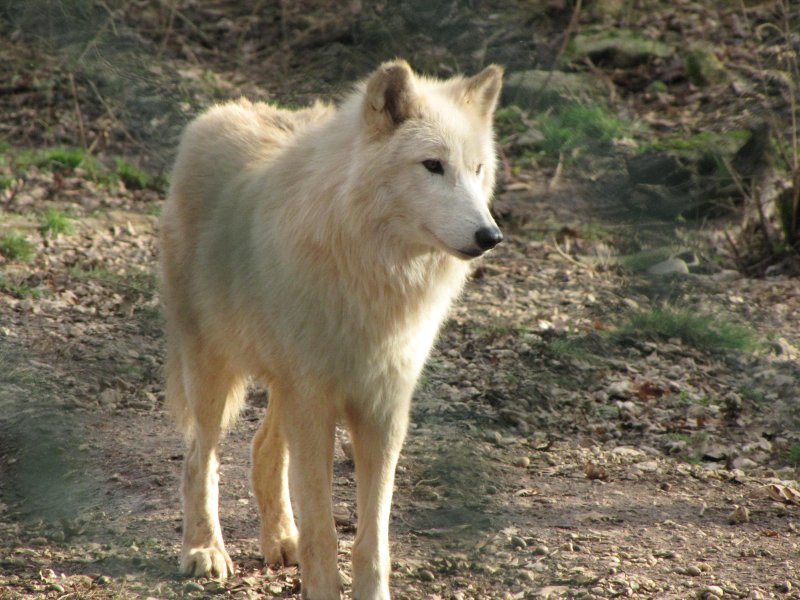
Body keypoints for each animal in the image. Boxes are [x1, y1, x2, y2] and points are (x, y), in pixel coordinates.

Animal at [159, 57, 504, 600]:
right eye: (432, 165)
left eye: (477, 170)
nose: (490, 236)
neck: (373, 270)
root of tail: (218, 112)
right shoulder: (315, 402)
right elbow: (322, 529)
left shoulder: (383, 410)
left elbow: (373, 539)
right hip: (215, 373)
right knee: (199, 460)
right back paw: (204, 550)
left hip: (283, 386)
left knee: (261, 449)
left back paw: (281, 542)